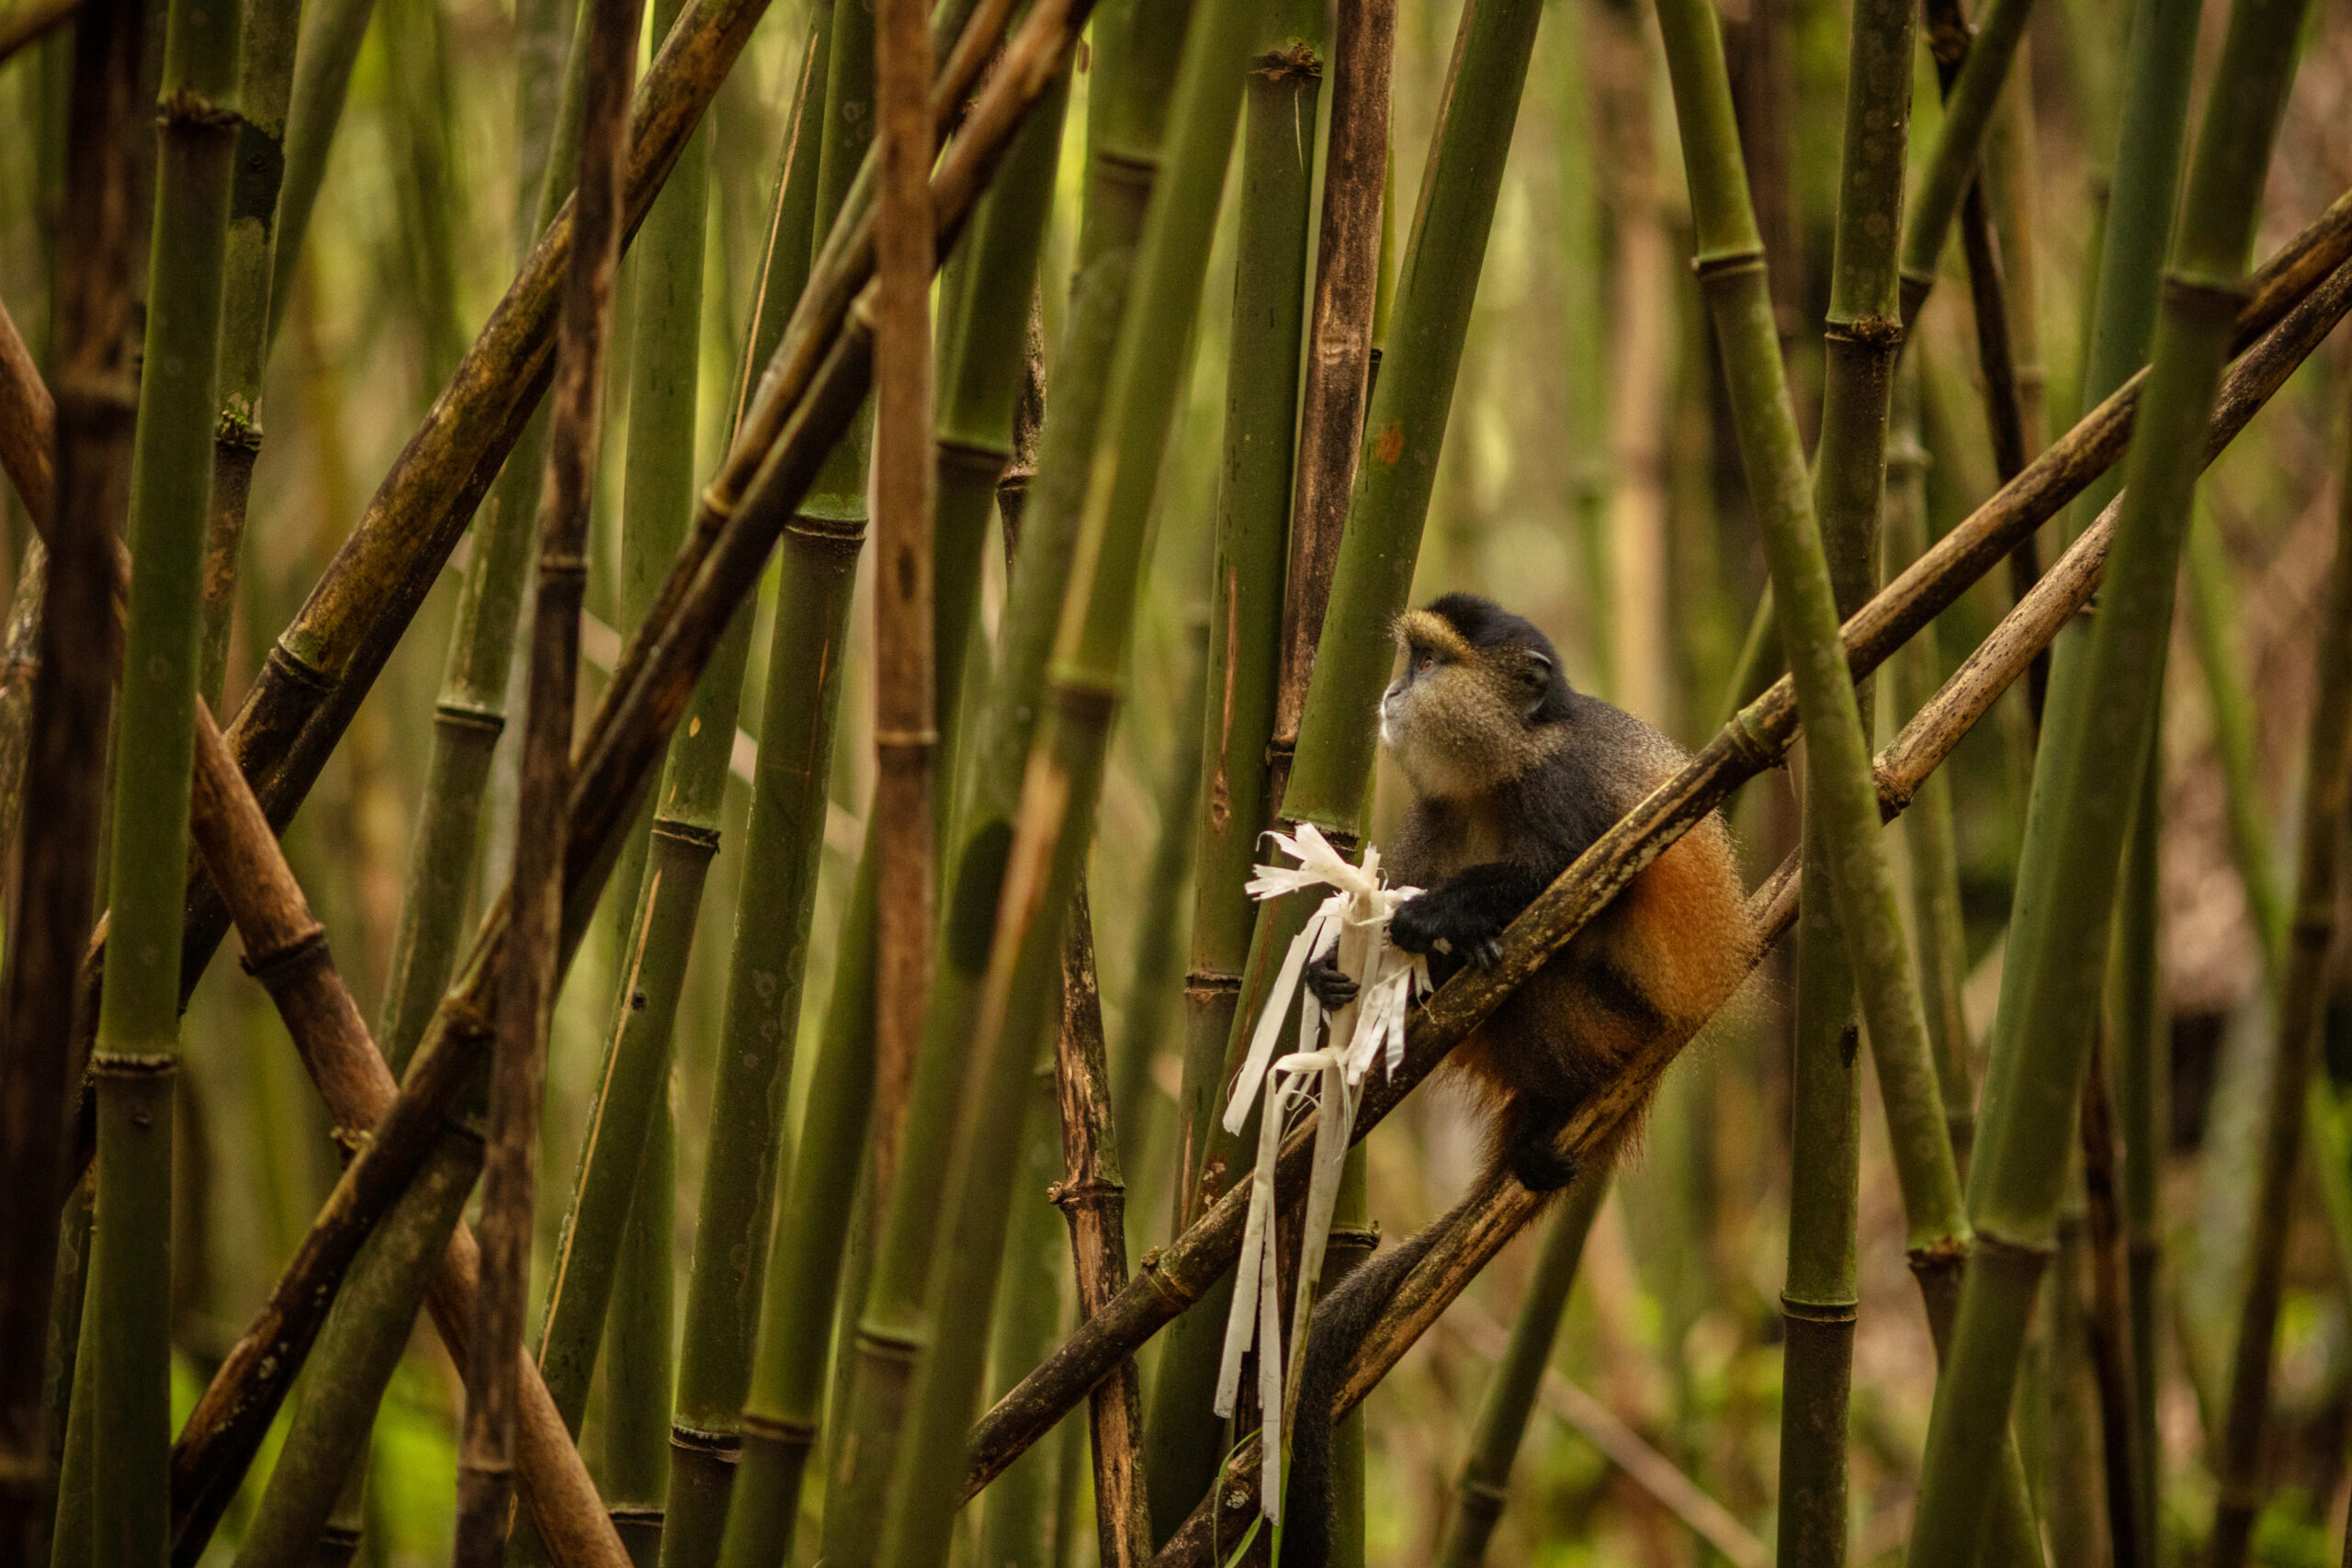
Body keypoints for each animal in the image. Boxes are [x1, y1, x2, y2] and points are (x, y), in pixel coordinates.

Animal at [1277, 594, 1755, 1568]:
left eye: (1427, 664)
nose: (1390, 693)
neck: (1502, 771)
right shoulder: (1434, 818)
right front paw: (1337, 975)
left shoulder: (1562, 788)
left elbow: (1576, 878)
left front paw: (1446, 914)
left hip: (1618, 1025)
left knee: (1546, 969)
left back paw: (1541, 1099)